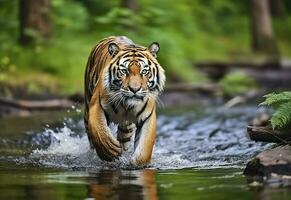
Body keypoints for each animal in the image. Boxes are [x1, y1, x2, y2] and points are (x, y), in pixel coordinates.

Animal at [84, 35, 167, 166]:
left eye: (144, 71)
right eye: (124, 71)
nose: (134, 89)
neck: (126, 106)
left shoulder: (148, 117)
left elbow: (144, 149)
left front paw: (137, 163)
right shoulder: (96, 106)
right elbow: (100, 132)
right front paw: (110, 151)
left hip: (126, 127)